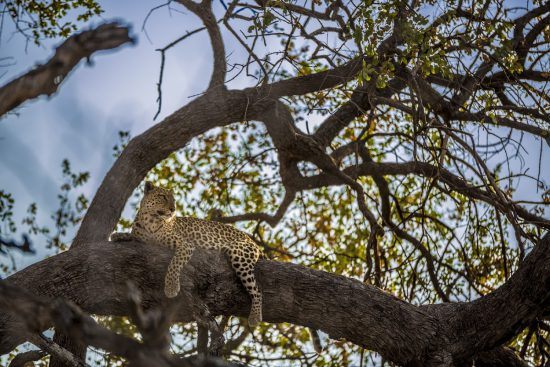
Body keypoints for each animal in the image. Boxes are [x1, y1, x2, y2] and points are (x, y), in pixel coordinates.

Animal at [111, 182, 264, 328]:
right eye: (162, 197)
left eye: (173, 200)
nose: (173, 209)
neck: (150, 220)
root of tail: (252, 240)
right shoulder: (143, 238)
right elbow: (133, 236)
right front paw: (118, 235)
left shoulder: (186, 245)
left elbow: (174, 264)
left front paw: (171, 287)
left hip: (240, 255)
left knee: (257, 291)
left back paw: (255, 317)